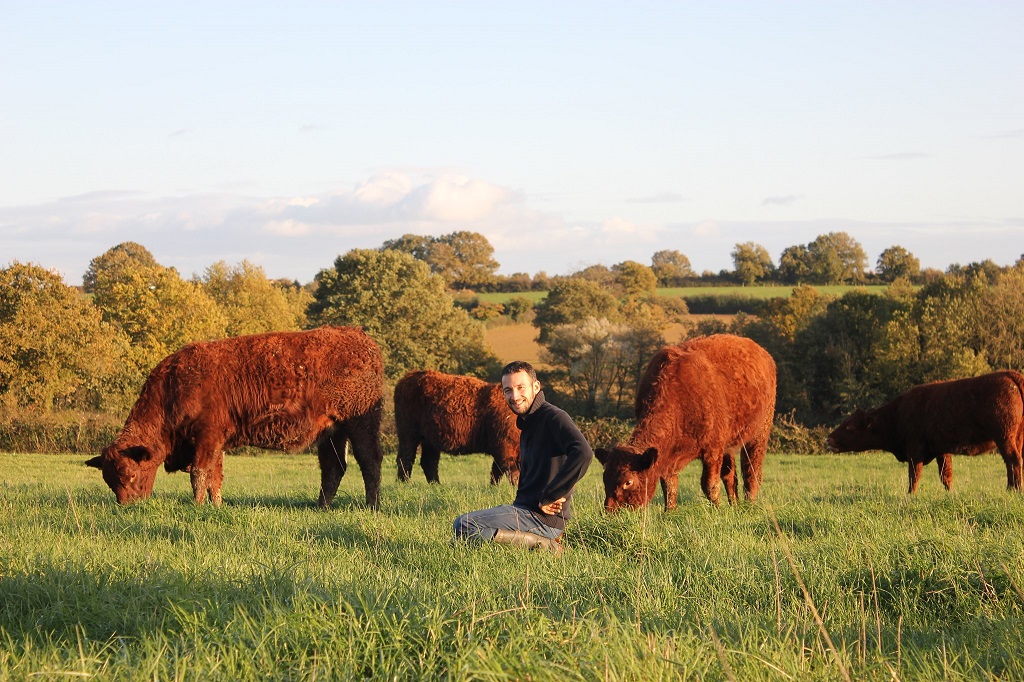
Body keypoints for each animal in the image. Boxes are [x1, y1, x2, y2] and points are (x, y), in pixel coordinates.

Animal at [86, 326, 385, 508]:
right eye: (109, 480)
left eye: (129, 473)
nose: (127, 506)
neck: (175, 385)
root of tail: (362, 339)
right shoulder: (216, 441)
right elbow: (214, 476)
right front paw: (216, 505)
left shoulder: (206, 437)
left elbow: (199, 473)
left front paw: (197, 505)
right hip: (332, 431)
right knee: (334, 467)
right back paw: (321, 507)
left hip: (360, 424)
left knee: (369, 461)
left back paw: (371, 506)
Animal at [595, 334, 777, 511]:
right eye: (605, 478)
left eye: (628, 482)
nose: (610, 512)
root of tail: (763, 353)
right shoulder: (671, 457)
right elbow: (669, 486)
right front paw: (669, 513)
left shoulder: (713, 450)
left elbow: (710, 485)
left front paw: (717, 511)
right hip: (729, 445)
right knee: (730, 476)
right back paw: (735, 505)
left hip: (759, 435)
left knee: (751, 472)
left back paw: (750, 504)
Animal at [826, 370, 1024, 493]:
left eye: (849, 427)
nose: (828, 439)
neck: (896, 414)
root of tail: (1009, 374)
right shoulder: (942, 450)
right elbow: (946, 475)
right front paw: (950, 493)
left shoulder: (915, 450)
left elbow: (914, 475)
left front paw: (910, 494)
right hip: (1017, 437)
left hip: (1004, 437)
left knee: (1012, 460)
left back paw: (1013, 489)